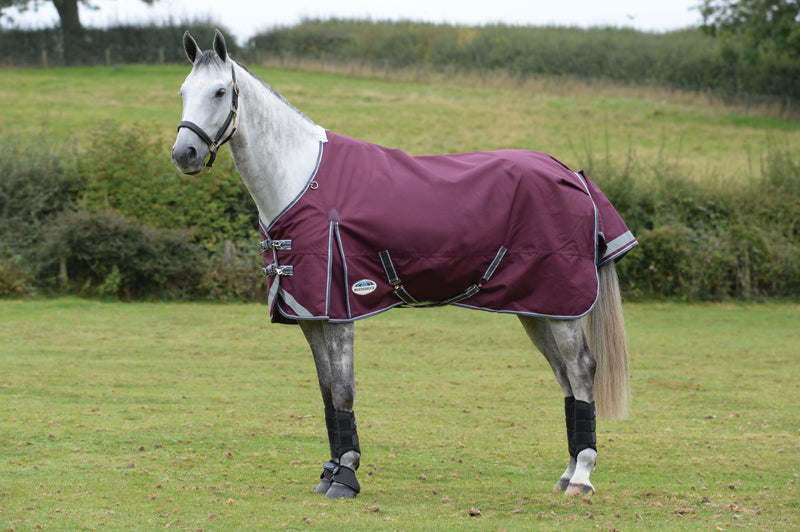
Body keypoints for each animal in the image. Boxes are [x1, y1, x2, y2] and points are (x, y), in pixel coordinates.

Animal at [172, 30, 635, 500]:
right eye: (183, 92)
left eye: (220, 91)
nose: (184, 153)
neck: (301, 180)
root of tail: (571, 174)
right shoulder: (311, 315)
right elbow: (326, 393)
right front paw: (329, 473)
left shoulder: (339, 311)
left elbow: (344, 390)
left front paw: (346, 477)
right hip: (537, 307)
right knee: (565, 376)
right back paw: (567, 473)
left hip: (562, 306)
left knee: (581, 369)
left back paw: (582, 477)